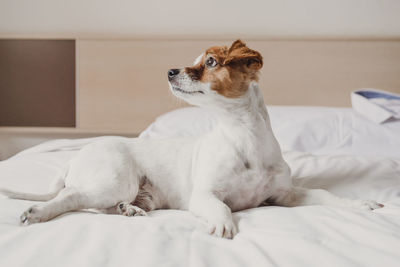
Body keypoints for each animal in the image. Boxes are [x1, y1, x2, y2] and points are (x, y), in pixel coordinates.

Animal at [0, 40, 382, 241]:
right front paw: (224, 223)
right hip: (114, 179)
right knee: (71, 198)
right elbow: (221, 207)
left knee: (95, 205)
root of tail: (75, 156)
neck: (243, 135)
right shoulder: (205, 195)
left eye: (210, 62)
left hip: (134, 192)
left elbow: (327, 195)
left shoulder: (285, 195)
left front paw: (360, 204)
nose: (169, 70)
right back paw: (38, 213)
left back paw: (130, 210)